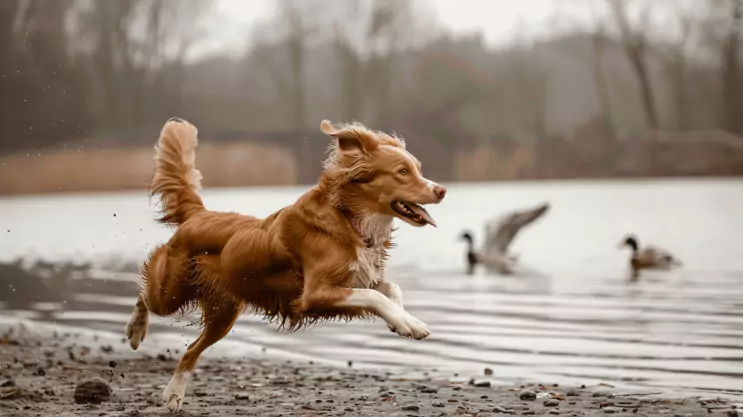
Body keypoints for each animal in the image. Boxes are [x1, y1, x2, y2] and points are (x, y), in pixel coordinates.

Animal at [125, 118, 448, 412]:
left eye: (418, 168)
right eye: (402, 172)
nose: (442, 190)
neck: (349, 220)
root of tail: (199, 214)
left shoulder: (358, 279)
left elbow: (391, 289)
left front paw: (402, 321)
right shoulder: (315, 294)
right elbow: (375, 296)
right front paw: (410, 323)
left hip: (224, 313)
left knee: (191, 349)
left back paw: (173, 395)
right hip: (172, 290)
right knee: (145, 293)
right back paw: (135, 331)